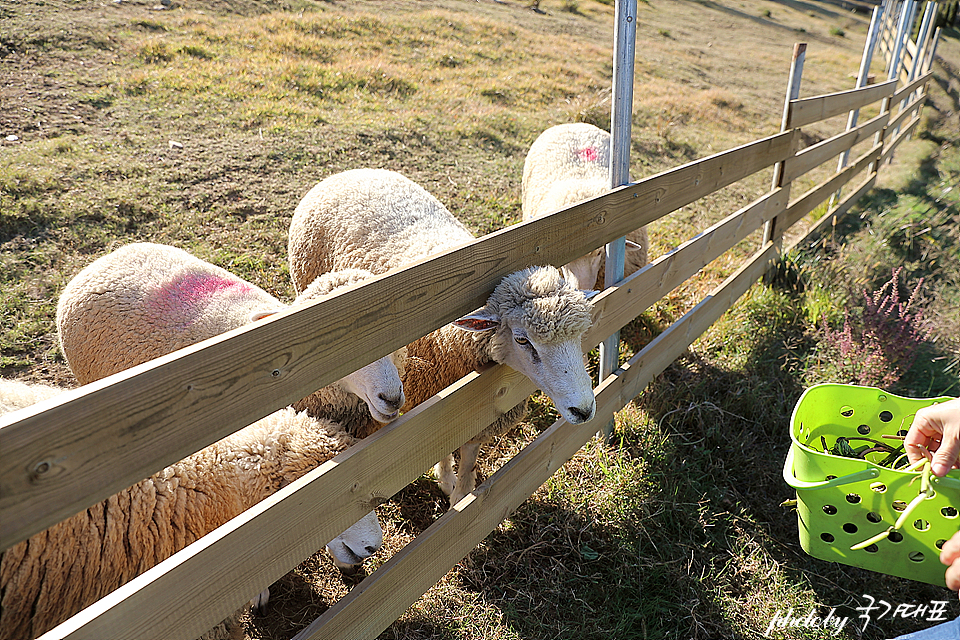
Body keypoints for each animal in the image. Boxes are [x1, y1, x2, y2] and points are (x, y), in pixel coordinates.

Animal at [288, 168, 596, 508]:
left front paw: (462, 491)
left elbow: (470, 453)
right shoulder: (433, 398)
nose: (584, 410)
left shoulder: (477, 410)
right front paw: (447, 480)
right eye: (522, 340)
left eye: (580, 335)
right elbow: (443, 445)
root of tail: (349, 172)